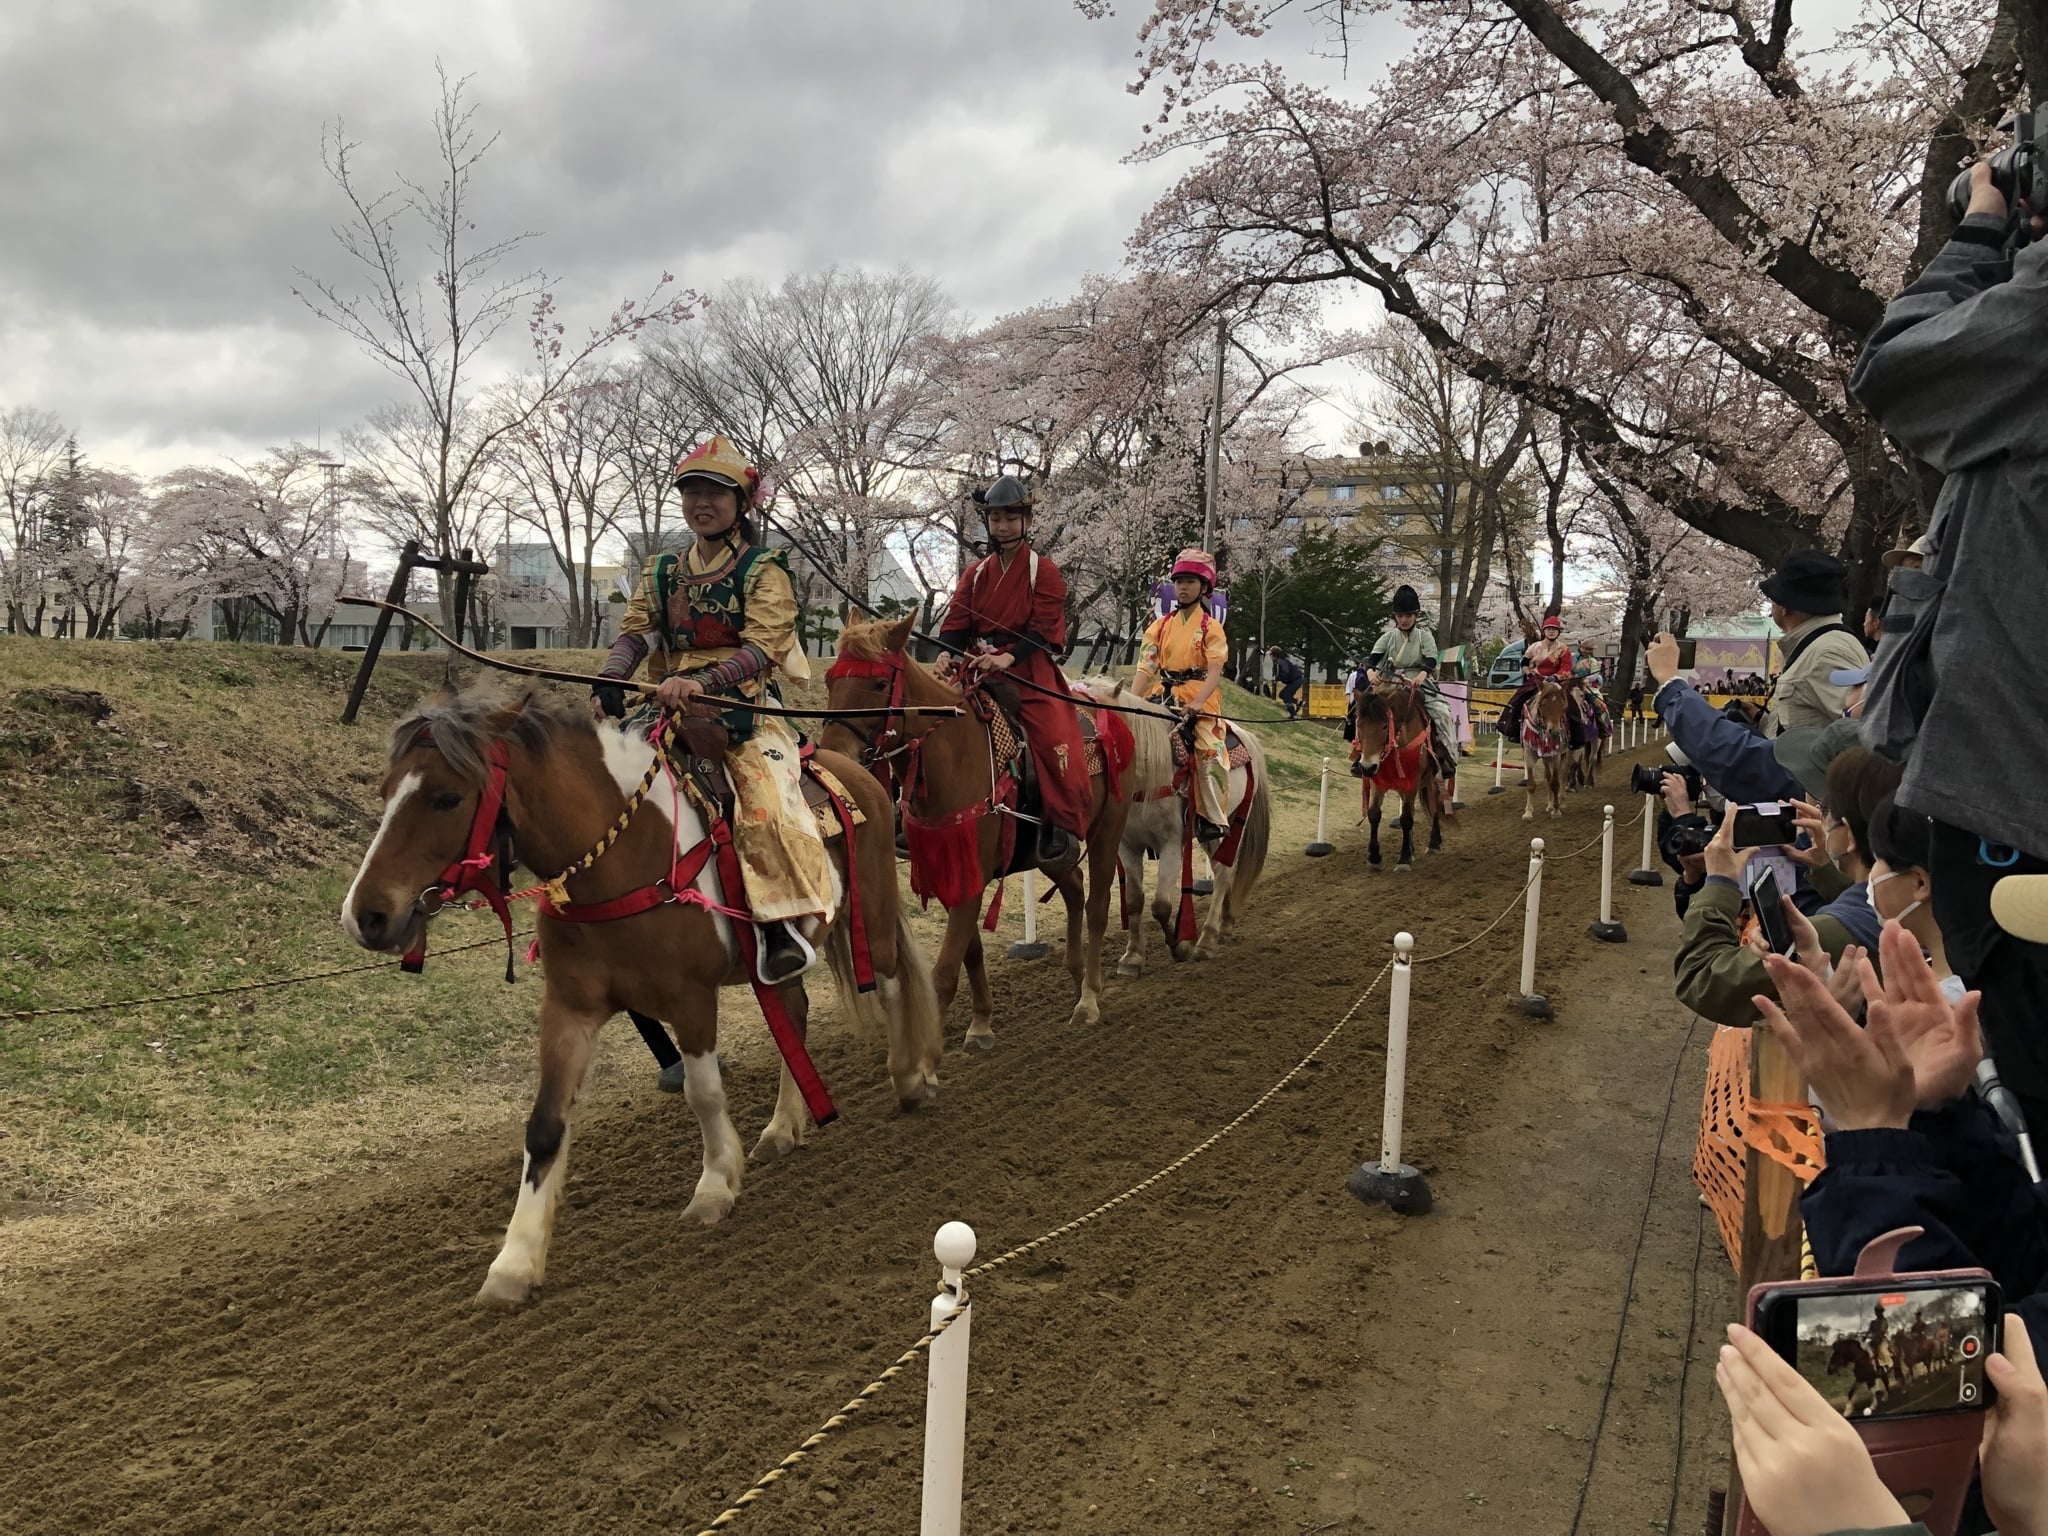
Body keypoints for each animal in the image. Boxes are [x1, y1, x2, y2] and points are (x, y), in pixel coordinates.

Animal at [341, 685, 945, 1307]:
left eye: (446, 798)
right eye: (386, 792)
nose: (366, 916)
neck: (620, 859)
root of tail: (858, 770)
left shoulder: (691, 998)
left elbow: (704, 1093)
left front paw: (714, 1185)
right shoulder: (570, 1011)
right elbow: (544, 1126)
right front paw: (514, 1262)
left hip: (870, 912)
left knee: (892, 984)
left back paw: (910, 1078)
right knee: (794, 1016)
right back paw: (782, 1128)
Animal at [818, 614, 1132, 1045]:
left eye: (880, 684)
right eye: (831, 681)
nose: (835, 756)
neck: (951, 760)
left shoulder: (970, 877)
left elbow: (944, 975)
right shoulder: (948, 870)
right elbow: (971, 952)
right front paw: (981, 1022)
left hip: (1107, 830)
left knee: (1097, 906)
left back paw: (1088, 998)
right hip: (1046, 851)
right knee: (1074, 886)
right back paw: (1076, 972)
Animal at [1084, 681, 1270, 972]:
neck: (1147, 776)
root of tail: (1245, 736)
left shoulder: (1171, 844)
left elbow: (1161, 905)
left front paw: (1180, 946)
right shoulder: (1127, 847)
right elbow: (1134, 900)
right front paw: (1133, 956)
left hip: (1228, 822)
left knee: (1223, 872)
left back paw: (1207, 941)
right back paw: (1225, 924)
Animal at [1350, 680, 1447, 871]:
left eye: (1384, 725)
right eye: (1359, 725)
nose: (1366, 767)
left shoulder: (1412, 783)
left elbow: (1406, 819)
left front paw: (1403, 859)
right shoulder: (1378, 782)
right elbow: (1374, 814)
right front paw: (1374, 857)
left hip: (1432, 779)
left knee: (1434, 806)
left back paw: (1433, 843)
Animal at [1520, 676, 1573, 820]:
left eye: (1563, 706)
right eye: (1543, 705)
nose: (1554, 732)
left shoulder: (1555, 756)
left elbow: (1555, 783)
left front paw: (1556, 810)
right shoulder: (1529, 754)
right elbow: (1531, 784)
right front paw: (1528, 812)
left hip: (1566, 754)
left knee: (1563, 776)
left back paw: (1562, 802)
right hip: (1545, 758)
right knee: (1548, 777)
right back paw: (1549, 805)